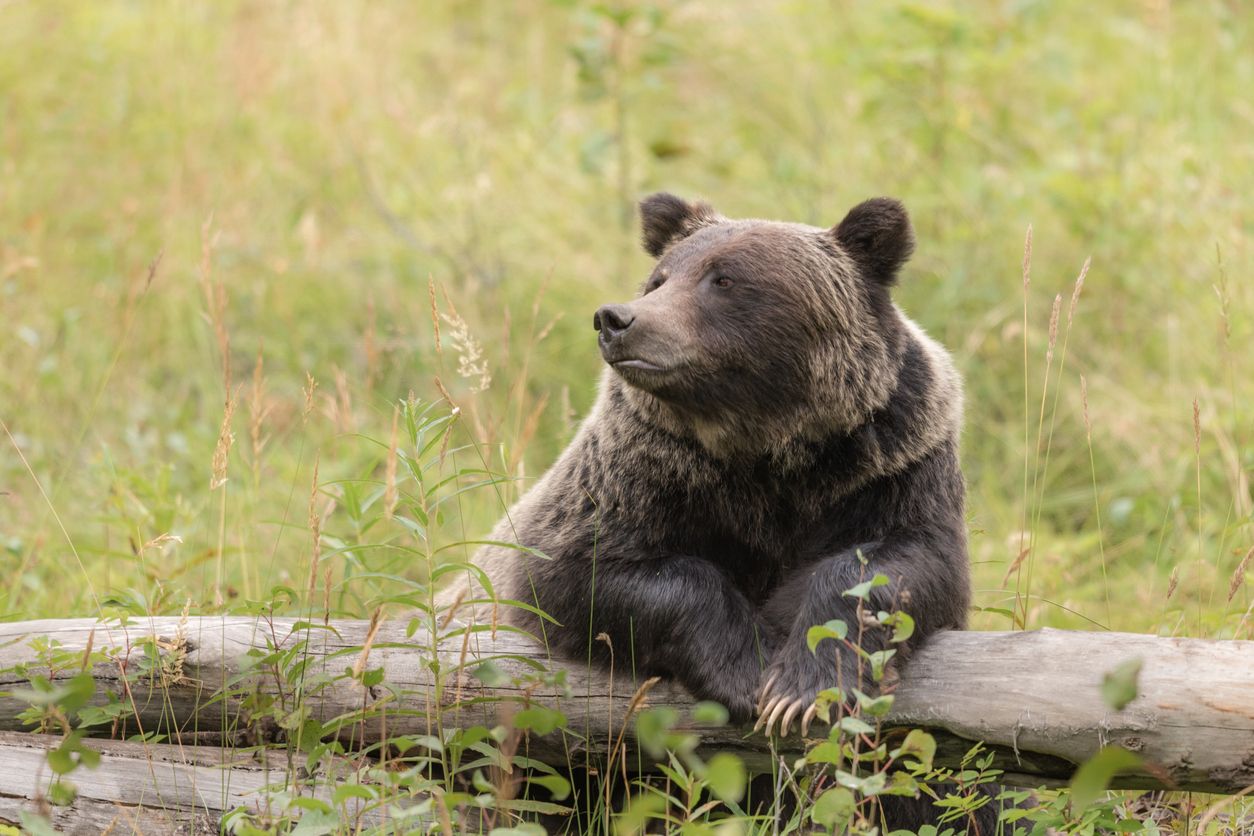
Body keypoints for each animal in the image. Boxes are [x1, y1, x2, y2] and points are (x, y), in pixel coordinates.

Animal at [441, 193, 990, 832]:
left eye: (724, 279)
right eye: (659, 278)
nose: (617, 319)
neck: (769, 452)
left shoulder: (892, 467)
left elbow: (901, 565)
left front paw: (803, 686)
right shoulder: (644, 478)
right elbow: (582, 569)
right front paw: (751, 672)